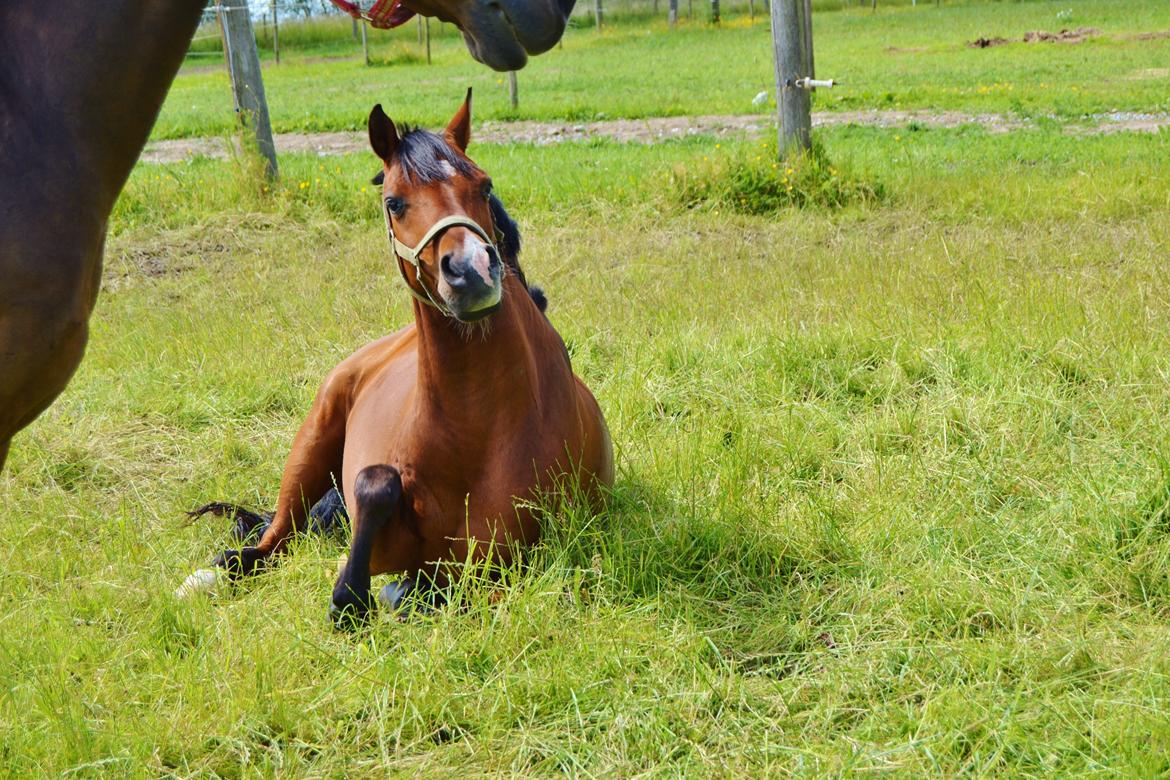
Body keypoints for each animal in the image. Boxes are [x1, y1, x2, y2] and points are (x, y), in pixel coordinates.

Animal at [189, 91, 613, 626]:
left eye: (484, 185)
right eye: (394, 202)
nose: (472, 272)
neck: (475, 432)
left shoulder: (522, 566)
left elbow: (427, 588)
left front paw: (389, 594)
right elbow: (375, 487)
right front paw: (351, 595)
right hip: (311, 442)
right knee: (273, 538)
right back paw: (215, 572)